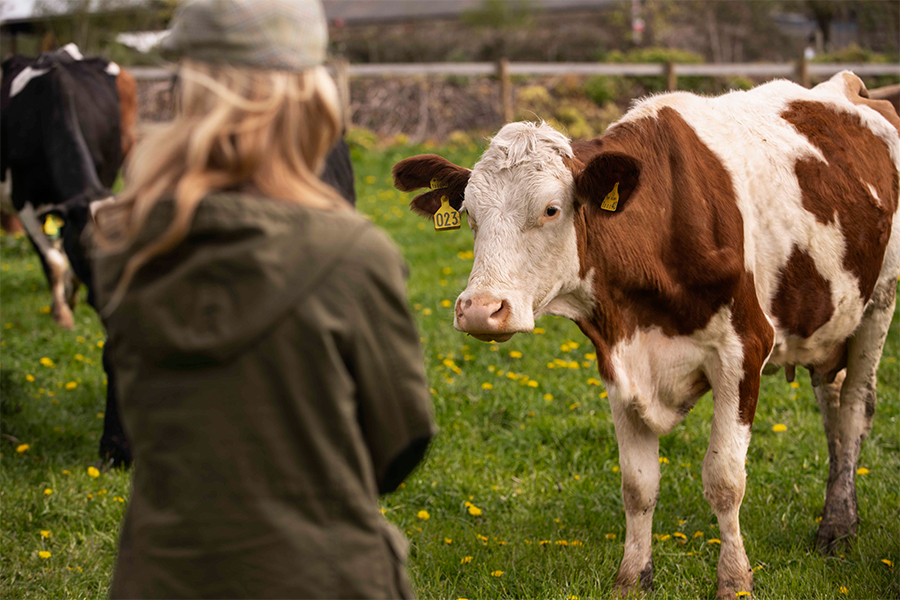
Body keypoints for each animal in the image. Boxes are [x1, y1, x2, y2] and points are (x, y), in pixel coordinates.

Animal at [396, 72, 900, 596]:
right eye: (470, 214)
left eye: (551, 210)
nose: (480, 310)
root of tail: (849, 85)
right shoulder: (618, 357)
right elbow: (638, 485)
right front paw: (633, 577)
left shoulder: (744, 348)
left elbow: (725, 479)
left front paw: (734, 580)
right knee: (832, 406)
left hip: (879, 302)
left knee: (854, 409)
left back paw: (837, 528)